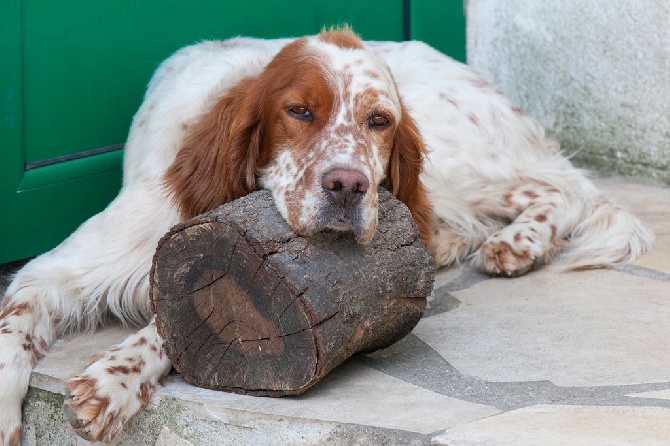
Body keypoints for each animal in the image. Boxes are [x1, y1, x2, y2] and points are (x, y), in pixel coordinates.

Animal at [0, 27, 652, 442]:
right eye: (299, 112)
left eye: (379, 120)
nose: (347, 185)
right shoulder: (54, 269)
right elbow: (14, 326)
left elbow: (177, 316)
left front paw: (111, 380)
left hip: (463, 161)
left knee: (565, 188)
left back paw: (517, 244)